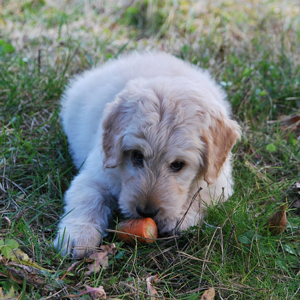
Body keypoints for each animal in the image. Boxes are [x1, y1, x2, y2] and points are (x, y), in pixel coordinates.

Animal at [54, 51, 241, 258]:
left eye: (178, 165)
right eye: (137, 156)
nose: (146, 212)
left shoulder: (219, 181)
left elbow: (201, 196)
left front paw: (180, 218)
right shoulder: (96, 174)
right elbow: (87, 199)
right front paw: (77, 236)